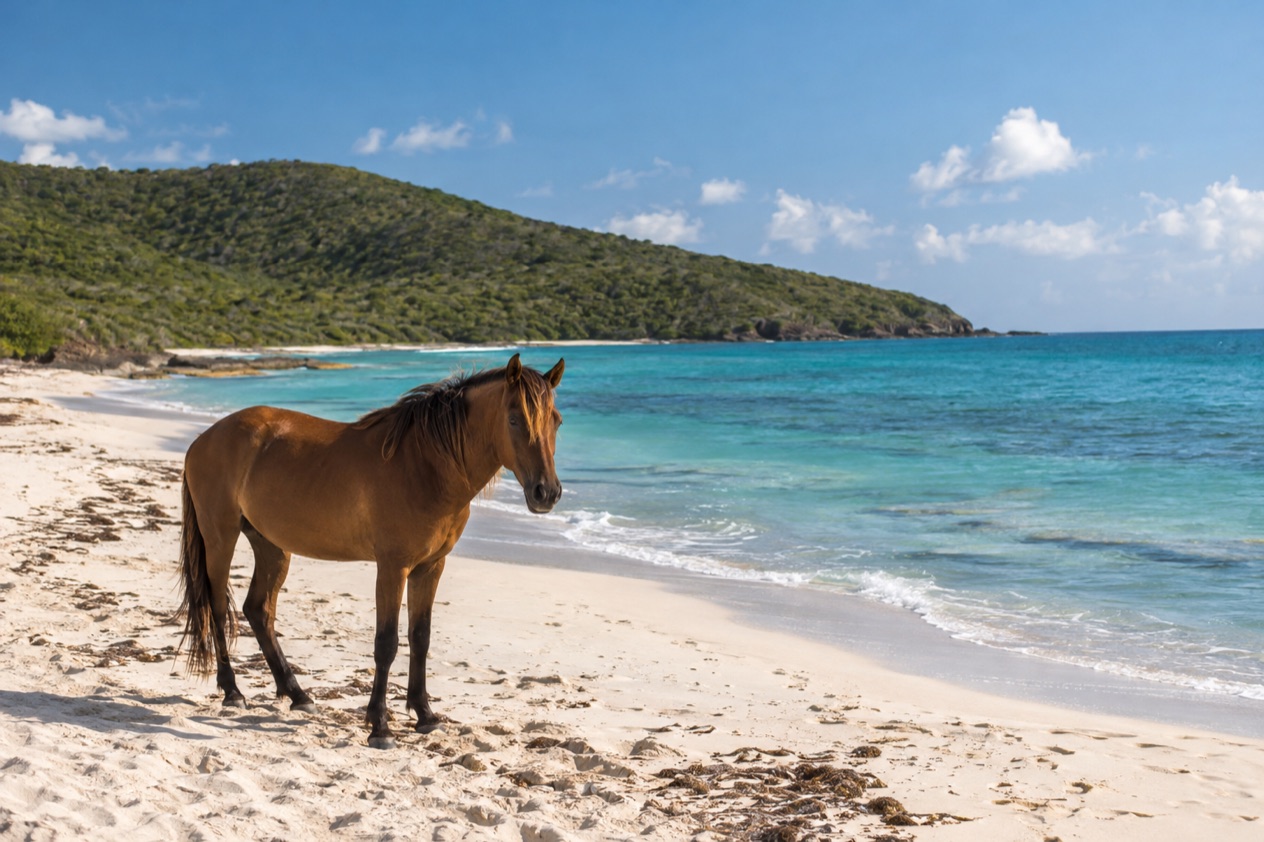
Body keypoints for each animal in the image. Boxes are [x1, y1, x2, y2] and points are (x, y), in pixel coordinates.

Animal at [177, 353, 564, 748]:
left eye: (556, 421)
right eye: (514, 419)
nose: (546, 493)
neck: (425, 466)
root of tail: (203, 440)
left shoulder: (430, 567)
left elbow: (420, 638)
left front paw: (425, 715)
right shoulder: (393, 567)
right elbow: (387, 643)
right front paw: (380, 726)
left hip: (271, 545)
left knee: (259, 610)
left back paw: (298, 694)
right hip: (221, 537)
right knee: (218, 607)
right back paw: (232, 691)